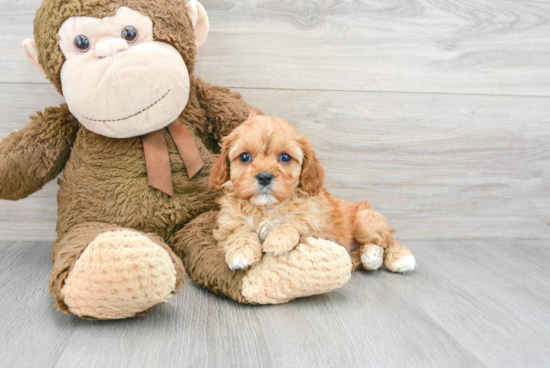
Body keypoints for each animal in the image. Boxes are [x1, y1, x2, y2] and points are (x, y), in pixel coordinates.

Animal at [209, 115, 416, 274]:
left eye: (285, 157)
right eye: (244, 157)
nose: (265, 177)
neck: (267, 207)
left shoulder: (316, 221)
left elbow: (296, 220)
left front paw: (278, 239)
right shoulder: (228, 221)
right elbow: (239, 230)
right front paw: (241, 252)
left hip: (366, 223)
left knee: (387, 240)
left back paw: (398, 258)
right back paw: (370, 256)